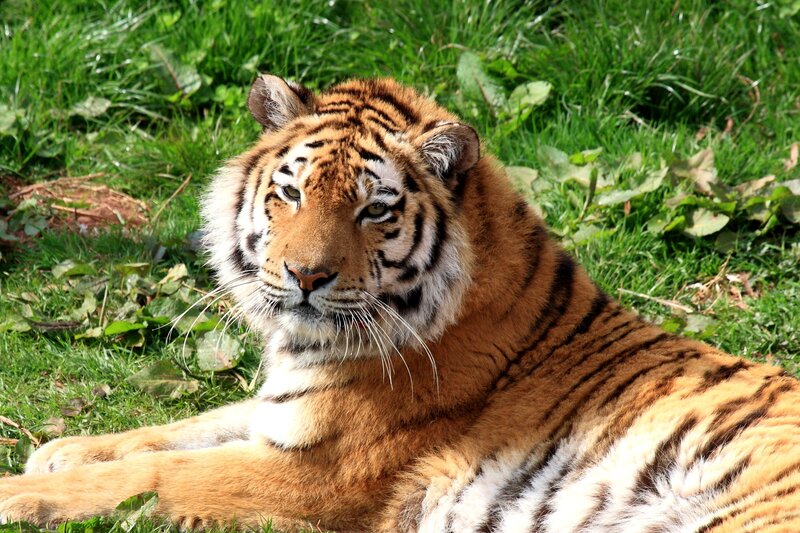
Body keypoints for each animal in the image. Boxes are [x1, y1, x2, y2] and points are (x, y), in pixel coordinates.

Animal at [1, 74, 799, 532]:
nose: (305, 276)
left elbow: (154, 475)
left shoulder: (316, 475)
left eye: (373, 210)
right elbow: (180, 428)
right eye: (291, 193)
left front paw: (15, 494)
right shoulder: (283, 413)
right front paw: (58, 451)